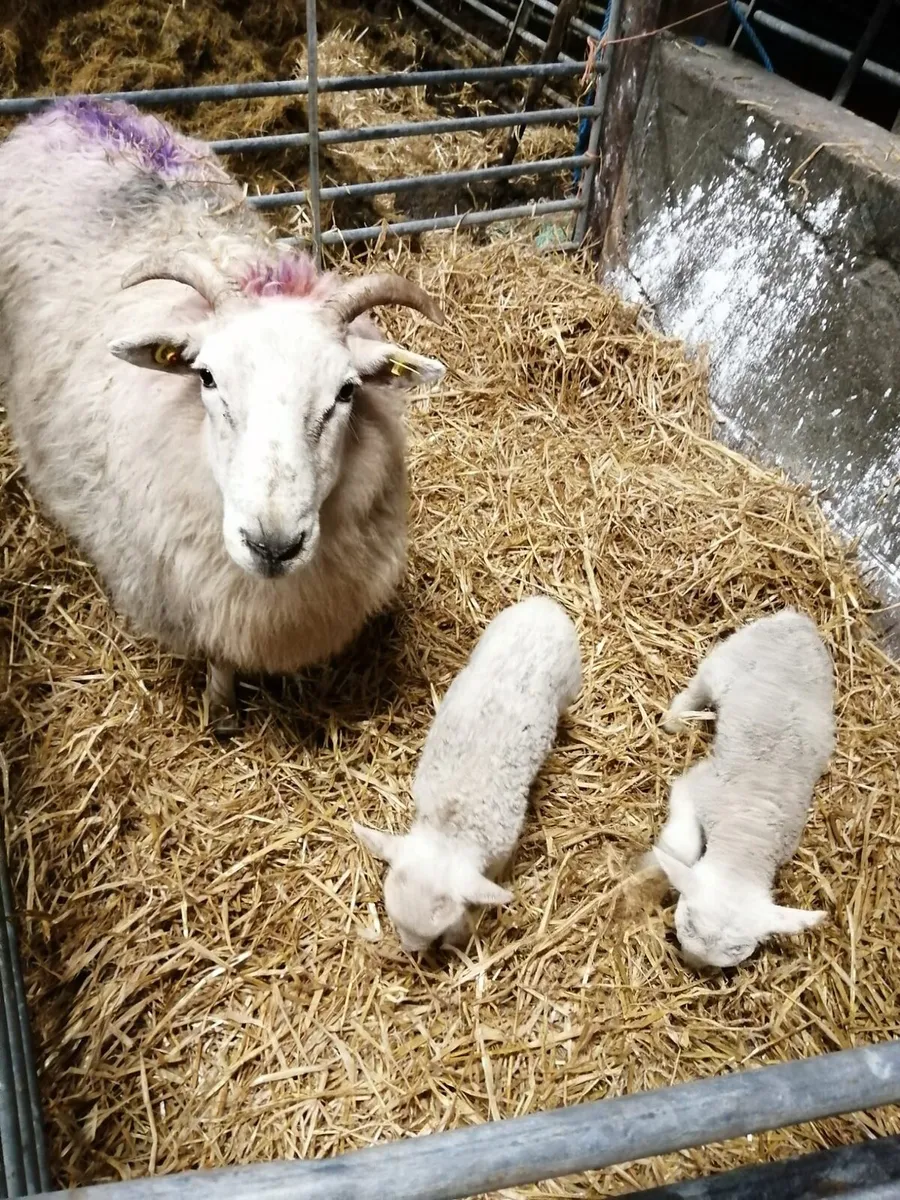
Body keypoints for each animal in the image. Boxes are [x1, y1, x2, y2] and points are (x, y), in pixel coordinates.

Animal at [0, 99, 446, 733]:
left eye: (347, 391)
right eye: (207, 378)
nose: (273, 545)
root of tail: (71, 106)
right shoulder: (196, 592)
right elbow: (219, 658)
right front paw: (221, 712)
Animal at [650, 608, 835, 969]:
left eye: (738, 951)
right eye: (688, 923)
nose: (694, 966)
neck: (748, 835)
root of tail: (795, 618)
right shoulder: (698, 786)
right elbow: (681, 846)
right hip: (725, 661)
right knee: (697, 688)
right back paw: (675, 719)